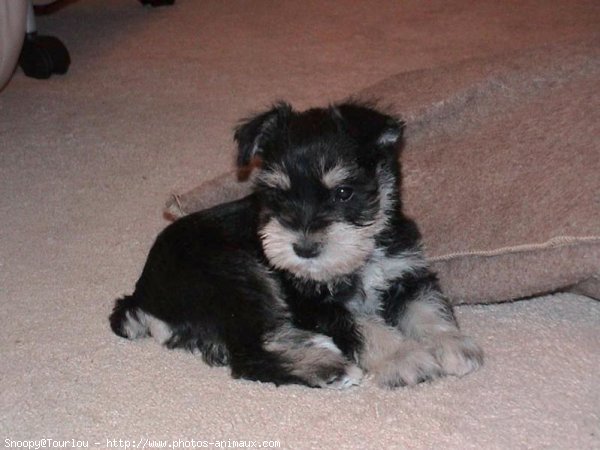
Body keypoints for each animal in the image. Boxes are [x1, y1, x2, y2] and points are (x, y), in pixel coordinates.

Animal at [109, 101, 482, 386]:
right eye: (279, 194)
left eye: (343, 192)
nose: (303, 249)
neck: (362, 256)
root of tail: (142, 294)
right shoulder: (315, 305)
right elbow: (364, 327)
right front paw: (404, 358)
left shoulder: (406, 274)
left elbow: (427, 309)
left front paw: (453, 345)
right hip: (237, 278)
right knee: (249, 356)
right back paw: (331, 368)